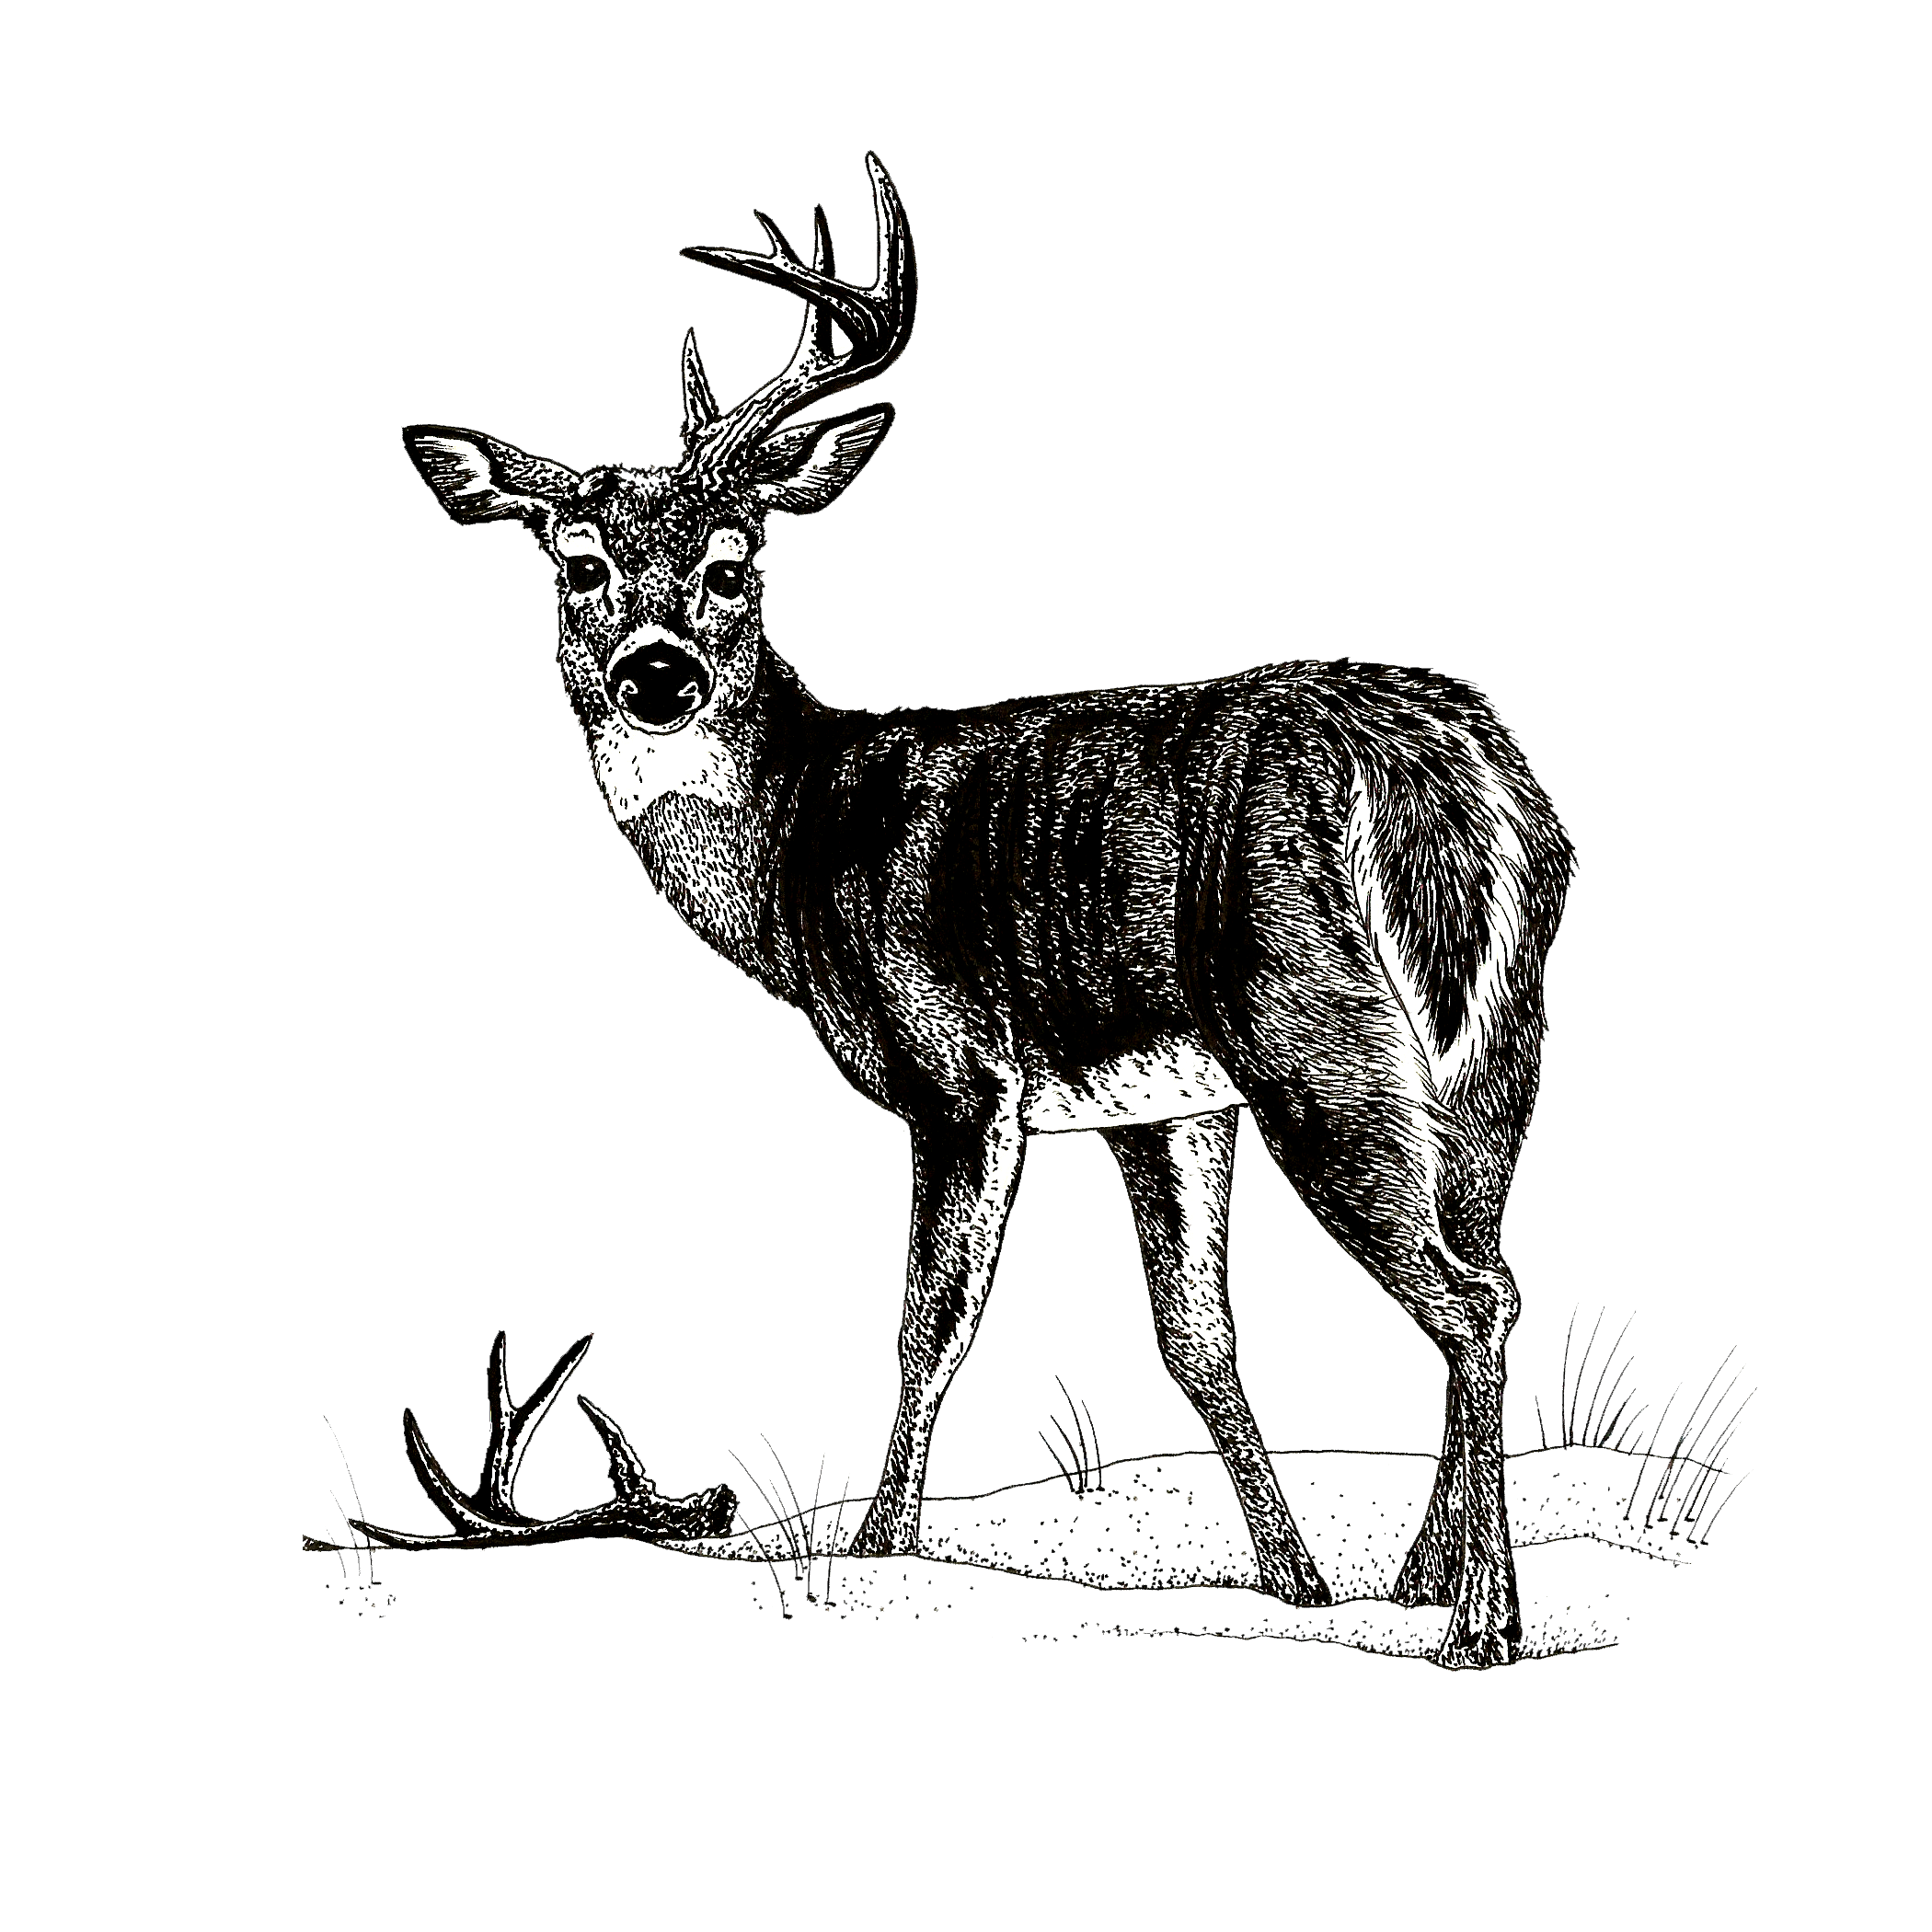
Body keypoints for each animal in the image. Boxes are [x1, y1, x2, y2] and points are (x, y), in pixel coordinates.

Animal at [389, 153, 1576, 1669]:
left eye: (733, 559)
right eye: (578, 560)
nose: (656, 673)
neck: (796, 850)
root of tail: (1439, 771)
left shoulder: (953, 1069)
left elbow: (928, 1323)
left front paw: (879, 1551)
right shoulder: (1159, 1104)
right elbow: (1195, 1340)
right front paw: (1295, 1580)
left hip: (1320, 1036)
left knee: (1473, 1297)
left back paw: (1476, 1625)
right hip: (1490, 1056)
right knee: (1493, 1266)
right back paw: (1426, 1576)